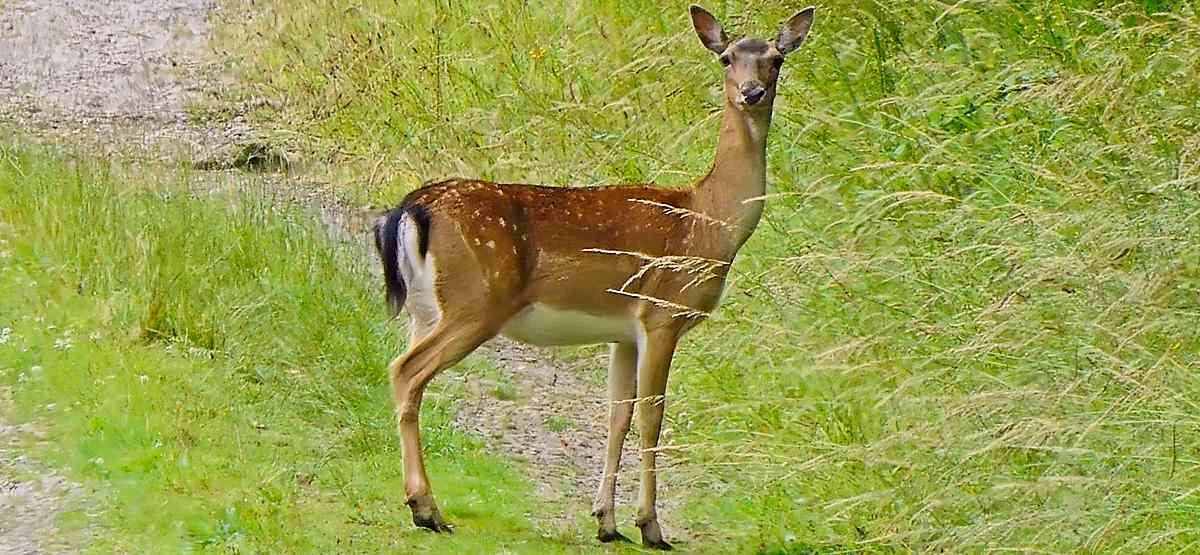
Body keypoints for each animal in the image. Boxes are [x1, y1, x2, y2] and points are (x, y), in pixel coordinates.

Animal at [374, 5, 816, 550]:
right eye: (727, 57)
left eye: (776, 59)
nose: (751, 92)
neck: (708, 222)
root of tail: (413, 207)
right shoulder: (662, 314)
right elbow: (652, 417)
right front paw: (651, 527)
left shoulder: (622, 332)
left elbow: (616, 415)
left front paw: (606, 521)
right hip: (476, 300)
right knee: (405, 371)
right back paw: (427, 510)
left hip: (424, 309)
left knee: (408, 377)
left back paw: (424, 505)